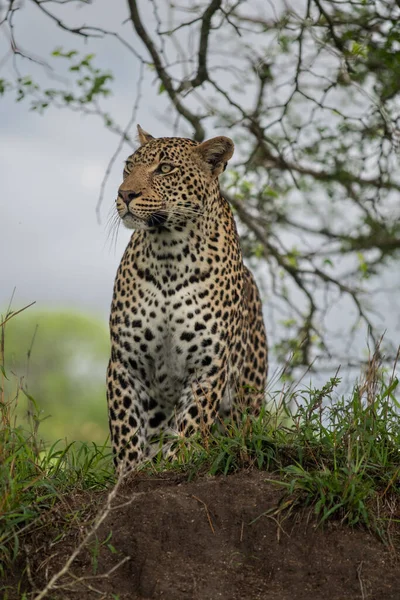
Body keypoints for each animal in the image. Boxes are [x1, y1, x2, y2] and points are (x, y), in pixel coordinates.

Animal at [108, 125, 268, 468]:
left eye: (165, 169)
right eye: (128, 167)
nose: (125, 194)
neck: (170, 252)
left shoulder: (207, 364)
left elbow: (191, 424)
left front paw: (176, 461)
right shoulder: (125, 361)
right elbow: (126, 428)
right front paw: (129, 472)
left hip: (246, 398)